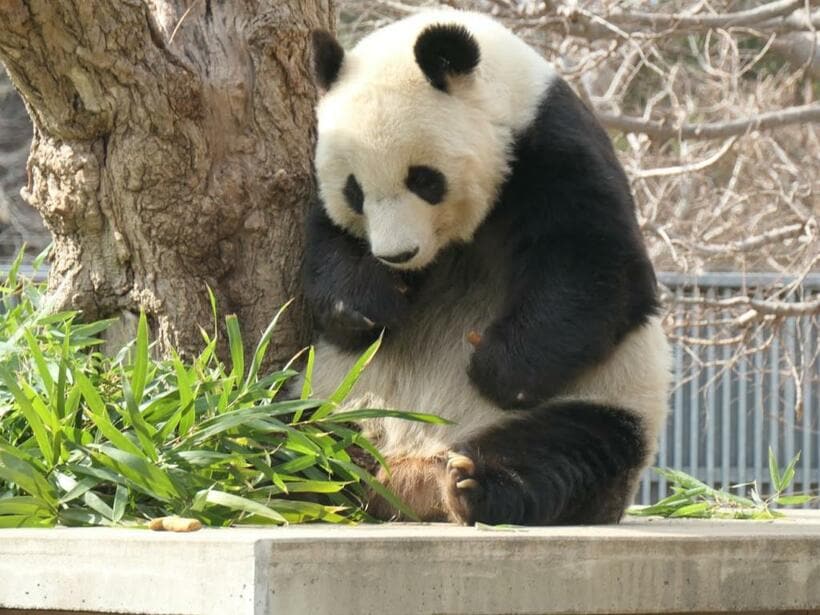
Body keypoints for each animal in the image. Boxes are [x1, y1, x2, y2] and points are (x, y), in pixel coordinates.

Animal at [304, 9, 668, 528]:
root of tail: (406, 474)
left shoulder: (552, 147)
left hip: (608, 396)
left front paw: (496, 367)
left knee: (570, 452)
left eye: (424, 180)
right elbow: (328, 242)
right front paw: (363, 309)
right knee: (287, 428)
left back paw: (475, 485)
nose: (397, 255)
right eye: (354, 191)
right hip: (336, 398)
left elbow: (600, 269)